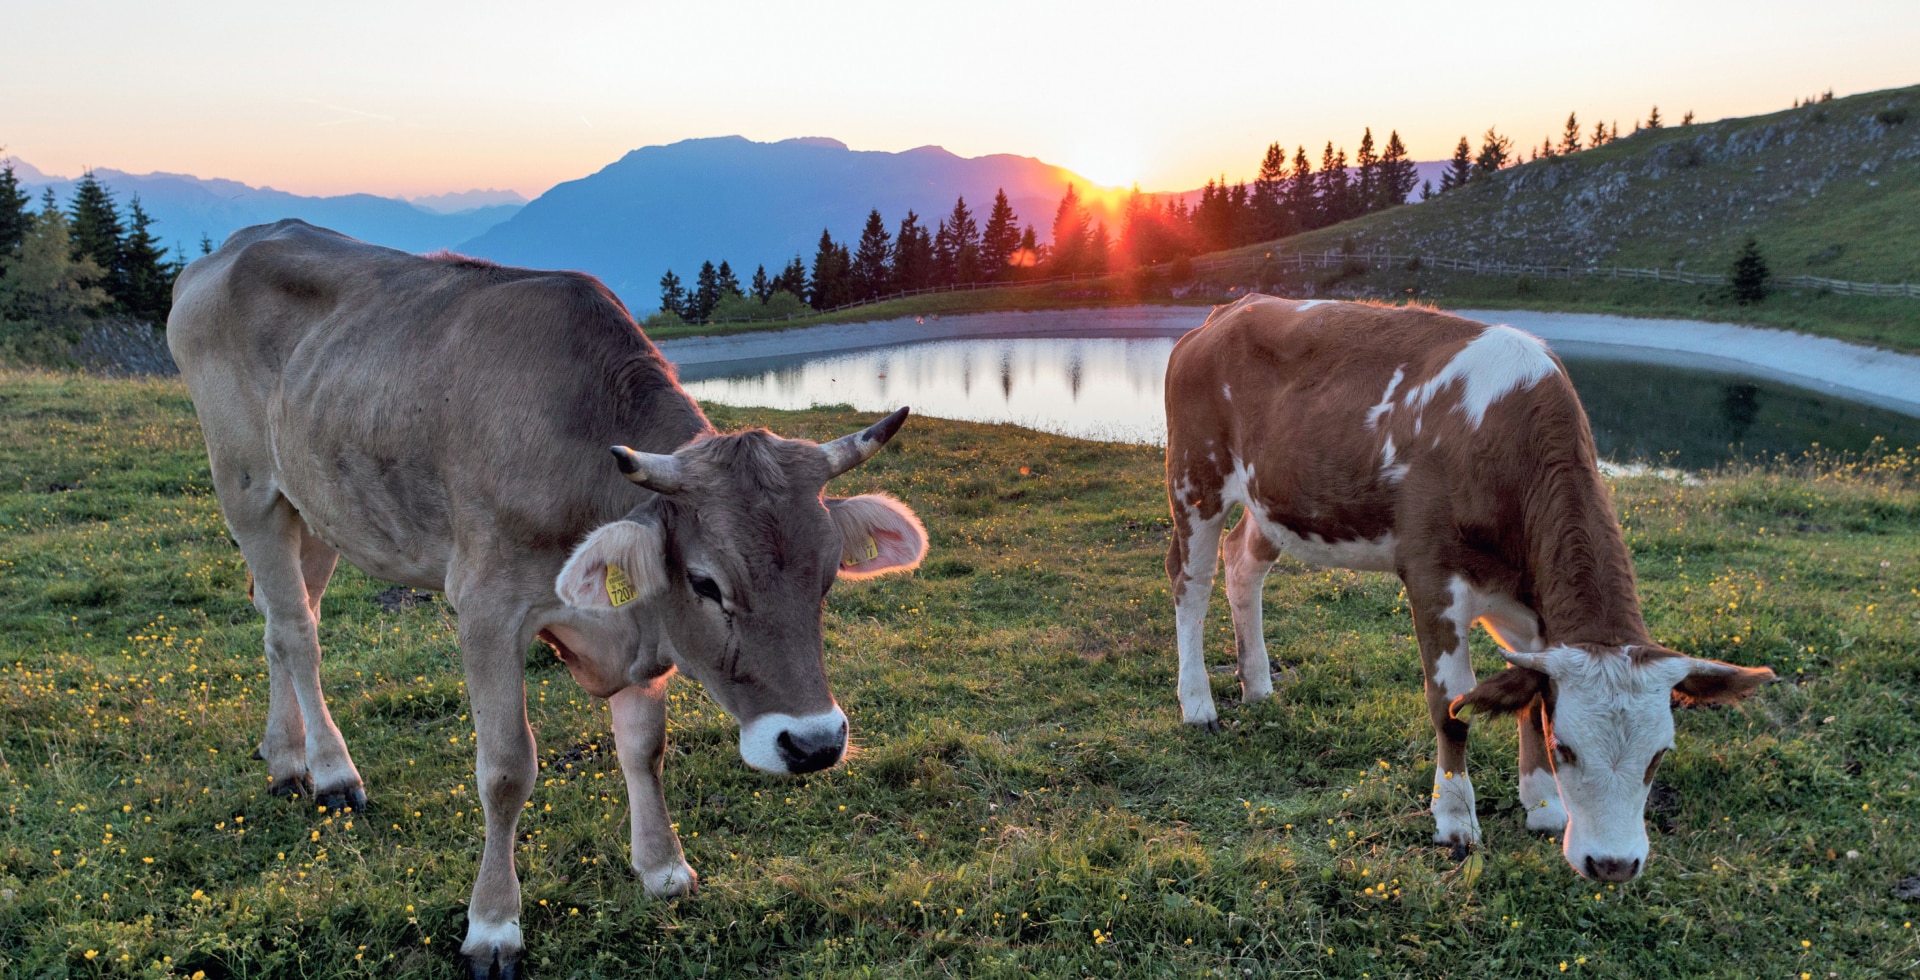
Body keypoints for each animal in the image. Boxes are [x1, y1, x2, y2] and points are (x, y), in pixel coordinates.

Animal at [165, 221, 929, 980]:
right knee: (296, 632)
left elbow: (644, 748)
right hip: (247, 487)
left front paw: (662, 869)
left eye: (826, 578)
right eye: (707, 582)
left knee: (281, 620)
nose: (816, 744)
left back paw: (284, 757)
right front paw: (492, 925)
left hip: (318, 504)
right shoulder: (486, 605)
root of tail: (234, 245)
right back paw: (330, 773)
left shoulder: (638, 625)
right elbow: (507, 770)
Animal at [1159, 295, 1774, 880]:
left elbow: (1530, 696)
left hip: (1273, 500)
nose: (1614, 865)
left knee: (1243, 563)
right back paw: (1198, 702)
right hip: (1194, 476)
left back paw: (1258, 684)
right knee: (1191, 579)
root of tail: (1228, 311)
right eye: (1567, 748)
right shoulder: (1432, 578)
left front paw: (1543, 806)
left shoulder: (1533, 612)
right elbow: (1450, 705)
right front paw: (1455, 820)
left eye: (1660, 755)